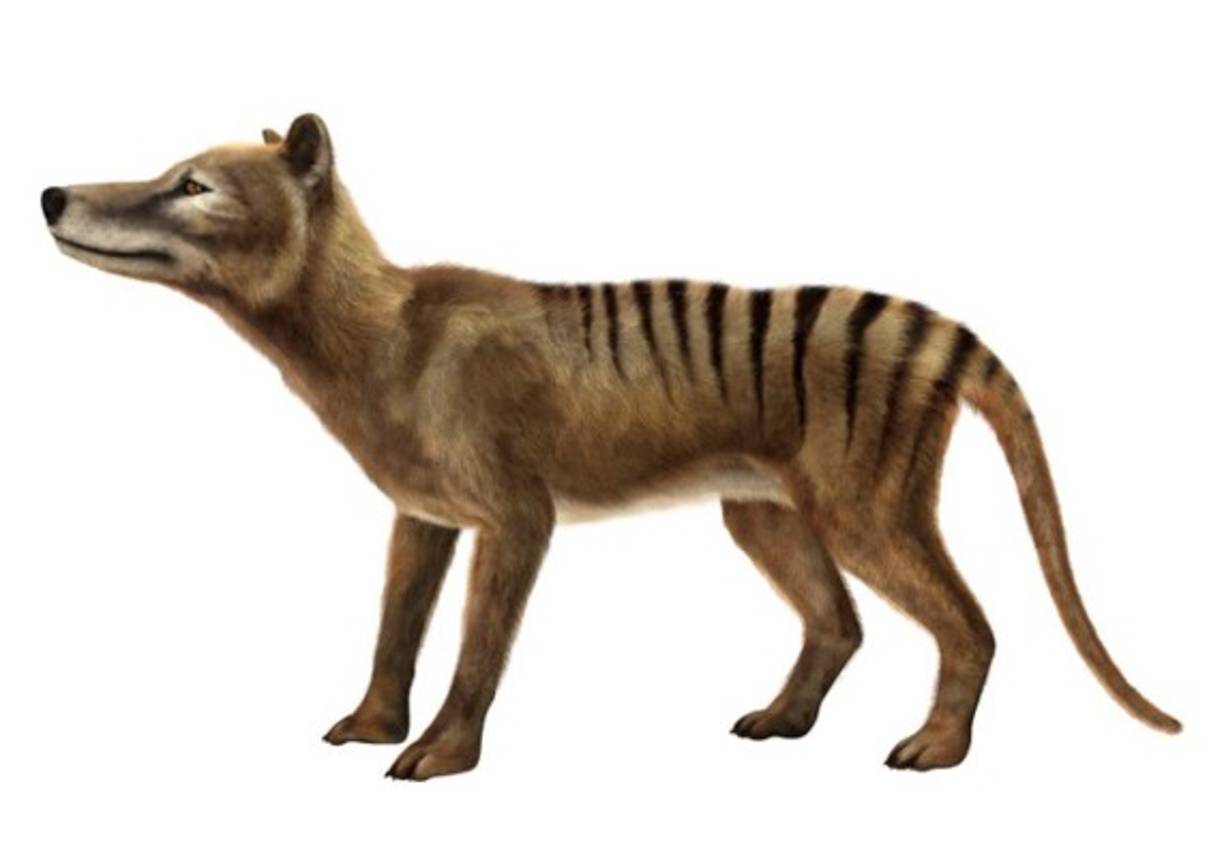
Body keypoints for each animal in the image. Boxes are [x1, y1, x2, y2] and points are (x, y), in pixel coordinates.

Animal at [41, 114, 1180, 780]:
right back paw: (785, 718)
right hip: (762, 509)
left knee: (970, 624)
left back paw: (939, 745)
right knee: (841, 621)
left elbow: (476, 647)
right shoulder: (421, 512)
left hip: (863, 505)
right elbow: (394, 628)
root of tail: (932, 330)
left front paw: (440, 751)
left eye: (193, 185)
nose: (51, 193)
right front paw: (371, 720)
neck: (378, 330)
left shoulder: (514, 515)